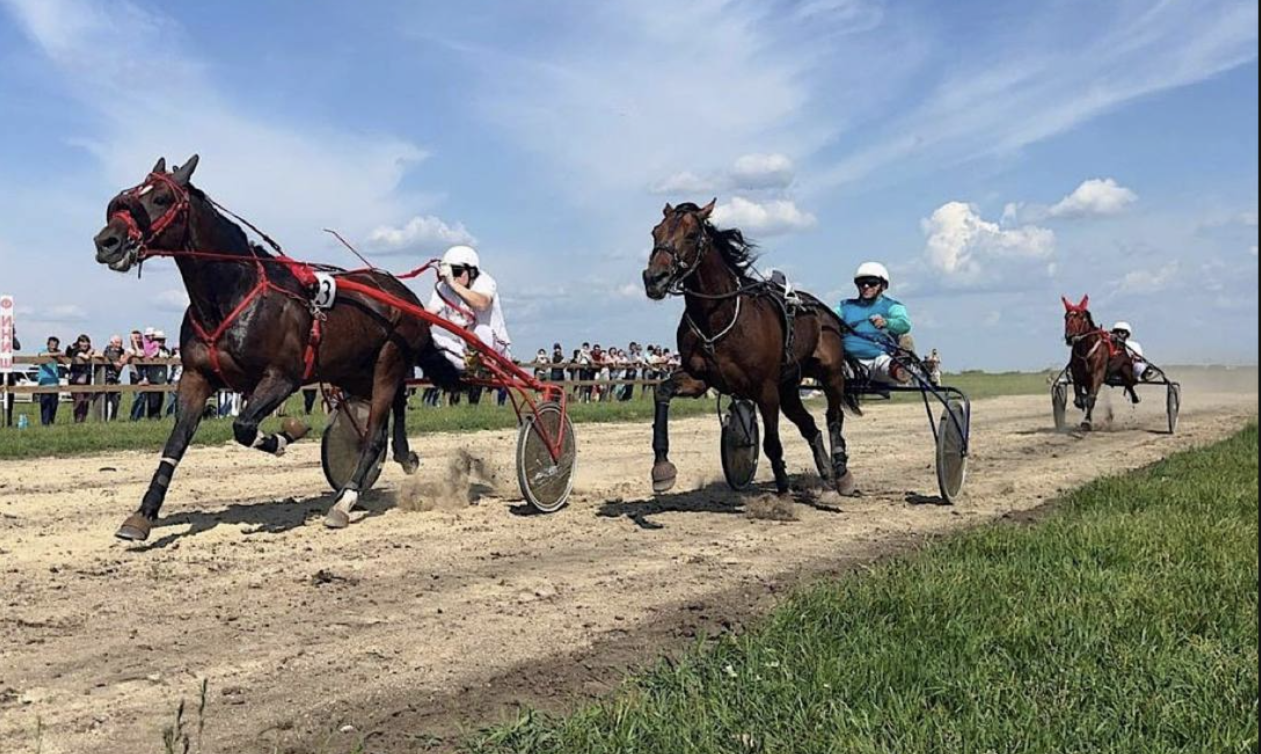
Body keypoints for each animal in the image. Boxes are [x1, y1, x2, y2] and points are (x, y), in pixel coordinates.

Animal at [92, 155, 459, 544]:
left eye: (160, 198)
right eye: (133, 194)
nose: (107, 241)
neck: (232, 295)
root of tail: (403, 294)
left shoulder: (282, 378)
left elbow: (243, 427)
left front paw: (285, 436)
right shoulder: (195, 377)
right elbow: (175, 444)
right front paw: (143, 515)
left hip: (389, 361)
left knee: (375, 433)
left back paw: (345, 501)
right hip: (356, 369)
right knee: (398, 404)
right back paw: (404, 457)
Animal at [645, 199, 862, 496]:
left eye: (690, 235)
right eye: (655, 232)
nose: (654, 278)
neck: (718, 317)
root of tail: (823, 310)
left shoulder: (766, 388)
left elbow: (772, 443)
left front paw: (783, 491)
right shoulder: (700, 378)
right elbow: (662, 393)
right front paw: (662, 468)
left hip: (830, 374)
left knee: (834, 416)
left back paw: (841, 473)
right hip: (789, 388)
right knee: (810, 426)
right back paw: (826, 471)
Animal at [1059, 295, 1139, 431]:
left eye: (1081, 317)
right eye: (1066, 317)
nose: (1070, 337)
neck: (1086, 349)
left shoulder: (1097, 373)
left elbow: (1091, 397)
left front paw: (1086, 421)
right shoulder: (1078, 375)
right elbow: (1079, 397)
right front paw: (1082, 403)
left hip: (1126, 368)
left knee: (1130, 383)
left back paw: (1134, 397)